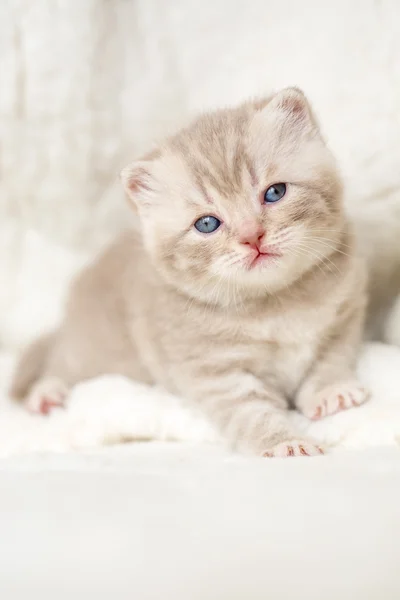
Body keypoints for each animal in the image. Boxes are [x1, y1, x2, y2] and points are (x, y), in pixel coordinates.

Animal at [10, 88, 370, 454]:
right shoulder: (213, 372)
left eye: (275, 192)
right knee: (61, 361)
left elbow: (331, 357)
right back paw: (47, 391)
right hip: (93, 349)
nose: (252, 236)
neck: (276, 302)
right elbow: (251, 412)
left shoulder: (345, 316)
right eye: (207, 224)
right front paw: (285, 441)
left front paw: (330, 391)